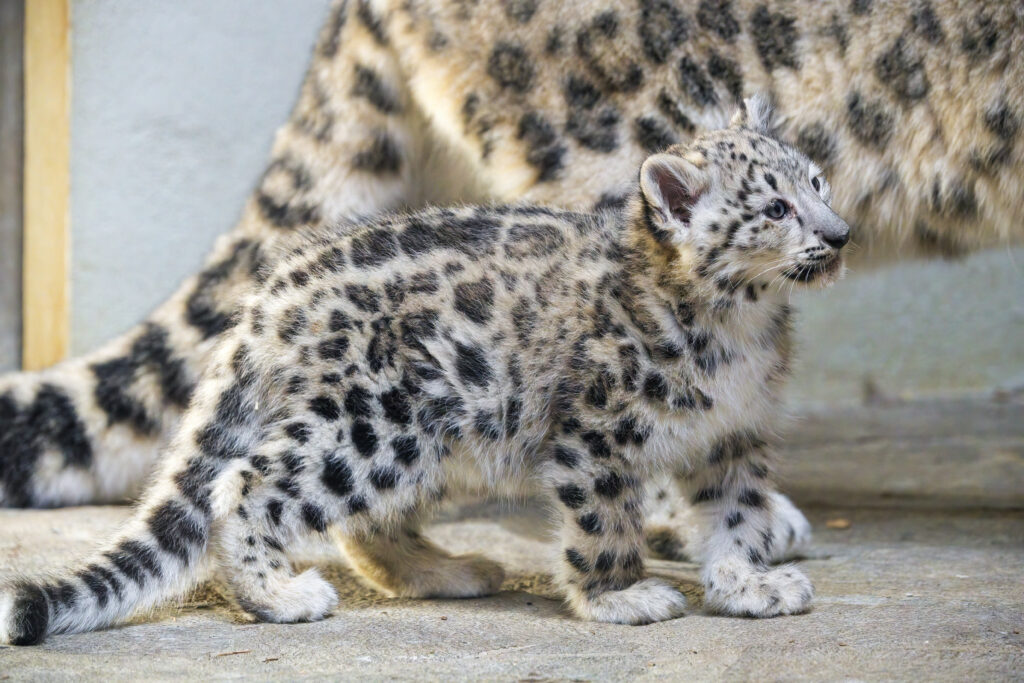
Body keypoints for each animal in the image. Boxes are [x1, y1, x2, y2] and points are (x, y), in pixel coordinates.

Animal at [0, 99, 850, 644]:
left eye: (817, 182)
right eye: (774, 208)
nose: (840, 232)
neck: (742, 327)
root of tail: (274, 293)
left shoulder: (732, 437)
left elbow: (735, 514)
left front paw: (750, 582)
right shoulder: (597, 434)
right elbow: (604, 519)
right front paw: (620, 594)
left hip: (432, 439)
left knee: (365, 525)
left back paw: (453, 568)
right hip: (371, 424)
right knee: (246, 482)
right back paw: (279, 593)